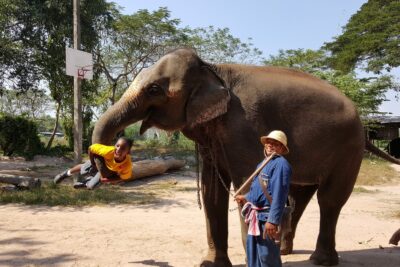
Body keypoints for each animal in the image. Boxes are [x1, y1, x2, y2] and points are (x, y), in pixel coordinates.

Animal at [92, 47, 400, 266]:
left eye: (154, 89)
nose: (120, 148)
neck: (212, 68)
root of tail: (361, 120)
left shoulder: (243, 126)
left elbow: (246, 185)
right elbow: (212, 193)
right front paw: (210, 264)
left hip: (348, 148)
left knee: (330, 199)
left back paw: (320, 260)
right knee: (299, 197)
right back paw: (286, 252)